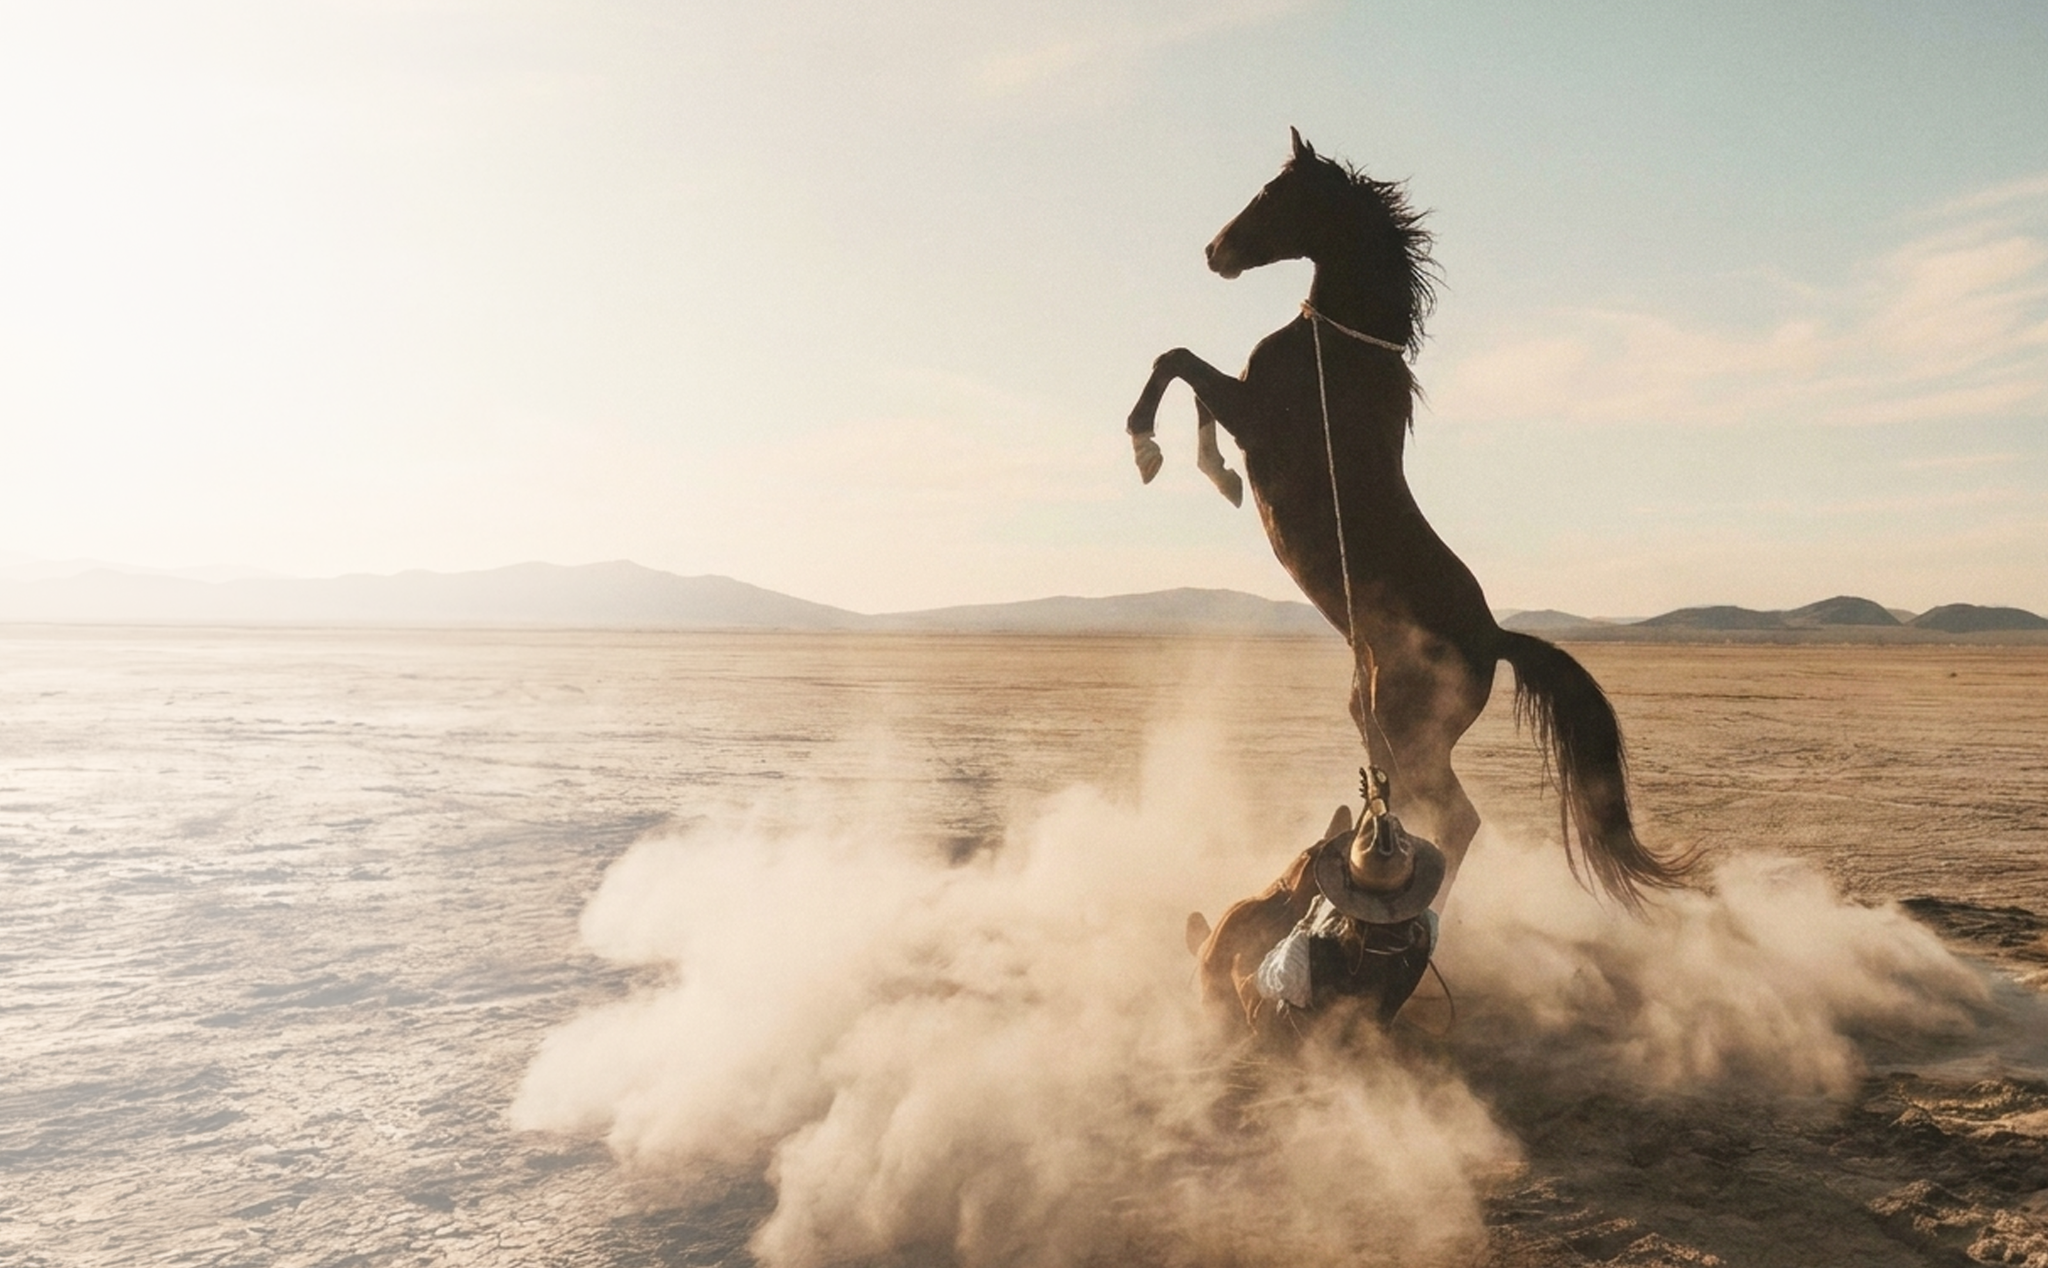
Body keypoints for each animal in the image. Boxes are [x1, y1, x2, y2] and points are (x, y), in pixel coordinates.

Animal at [1127, 128, 1693, 910]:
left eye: (1273, 193)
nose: (1215, 251)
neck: (1338, 350)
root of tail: (1494, 638)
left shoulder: (1254, 414)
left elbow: (1176, 362)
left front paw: (1149, 450)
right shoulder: (1242, 406)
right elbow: (1194, 388)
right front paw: (1221, 478)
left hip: (1407, 725)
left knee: (1454, 816)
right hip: (1374, 718)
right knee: (1420, 808)